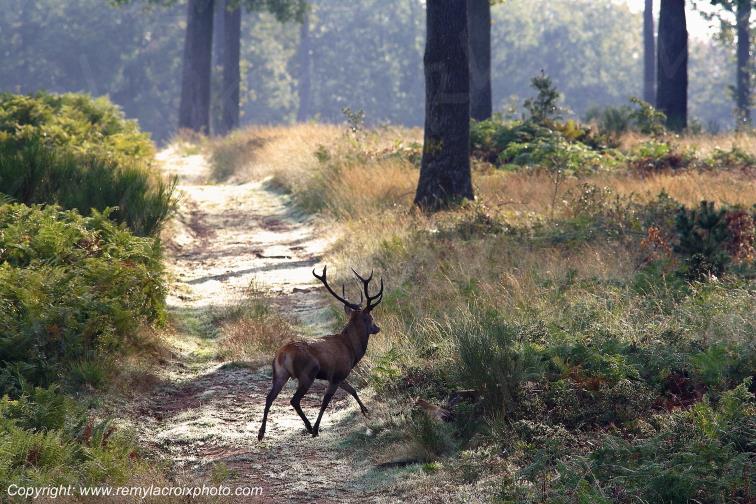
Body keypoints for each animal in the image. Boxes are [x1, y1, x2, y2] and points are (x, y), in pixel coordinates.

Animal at [257, 265, 383, 440]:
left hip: (280, 373)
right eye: (371, 318)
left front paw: (365, 411)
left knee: (269, 397)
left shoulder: (338, 375)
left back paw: (261, 433)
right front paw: (317, 428)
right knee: (294, 400)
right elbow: (325, 402)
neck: (351, 350)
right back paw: (310, 427)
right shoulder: (337, 374)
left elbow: (352, 390)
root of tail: (283, 354)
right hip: (307, 373)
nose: (377, 328)